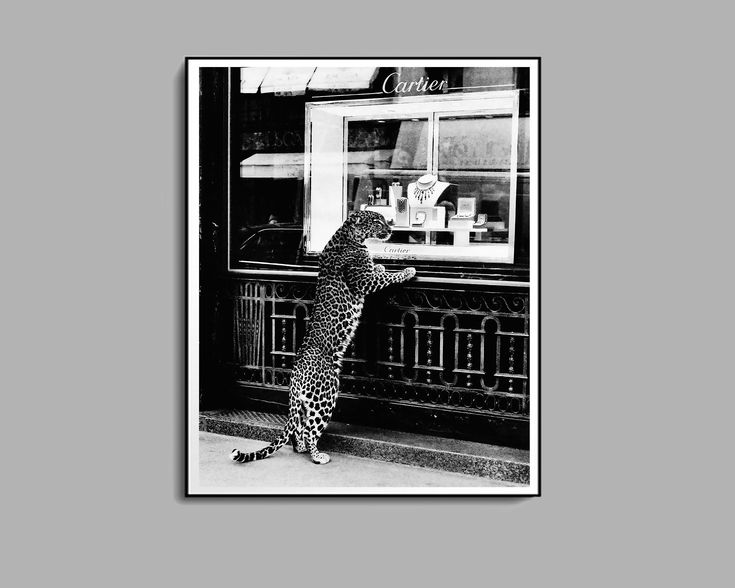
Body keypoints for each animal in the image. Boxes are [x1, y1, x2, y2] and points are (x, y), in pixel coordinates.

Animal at [231, 210, 414, 464]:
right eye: (377, 221)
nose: (391, 230)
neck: (349, 235)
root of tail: (296, 376)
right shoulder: (363, 281)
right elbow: (387, 278)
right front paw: (406, 272)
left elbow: (376, 271)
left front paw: (379, 266)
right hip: (325, 396)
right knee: (310, 429)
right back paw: (318, 456)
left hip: (305, 403)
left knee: (299, 427)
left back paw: (301, 448)